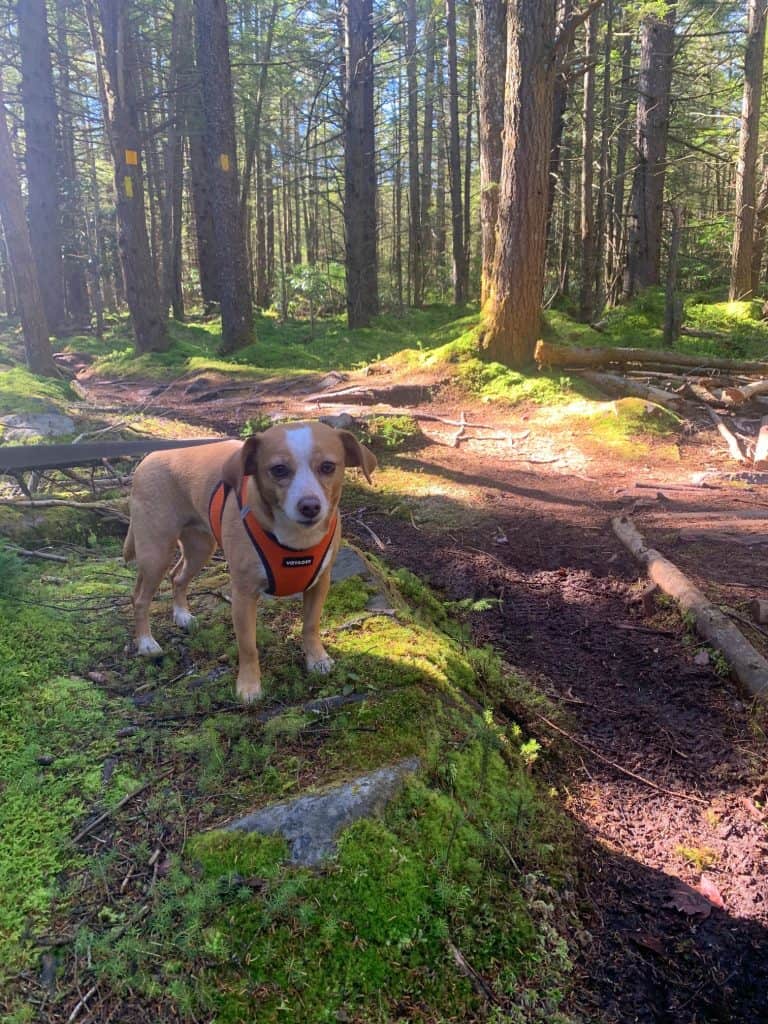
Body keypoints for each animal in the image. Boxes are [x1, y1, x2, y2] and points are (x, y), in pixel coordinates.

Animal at [123, 419, 378, 700]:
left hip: (201, 548)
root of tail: (152, 456)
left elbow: (310, 626)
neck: (296, 539)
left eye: (328, 467)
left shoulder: (319, 584)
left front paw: (317, 659)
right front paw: (249, 685)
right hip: (156, 552)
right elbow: (248, 646)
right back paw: (146, 642)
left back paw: (182, 615)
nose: (310, 506)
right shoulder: (244, 596)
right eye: (279, 470)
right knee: (140, 598)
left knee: (177, 577)